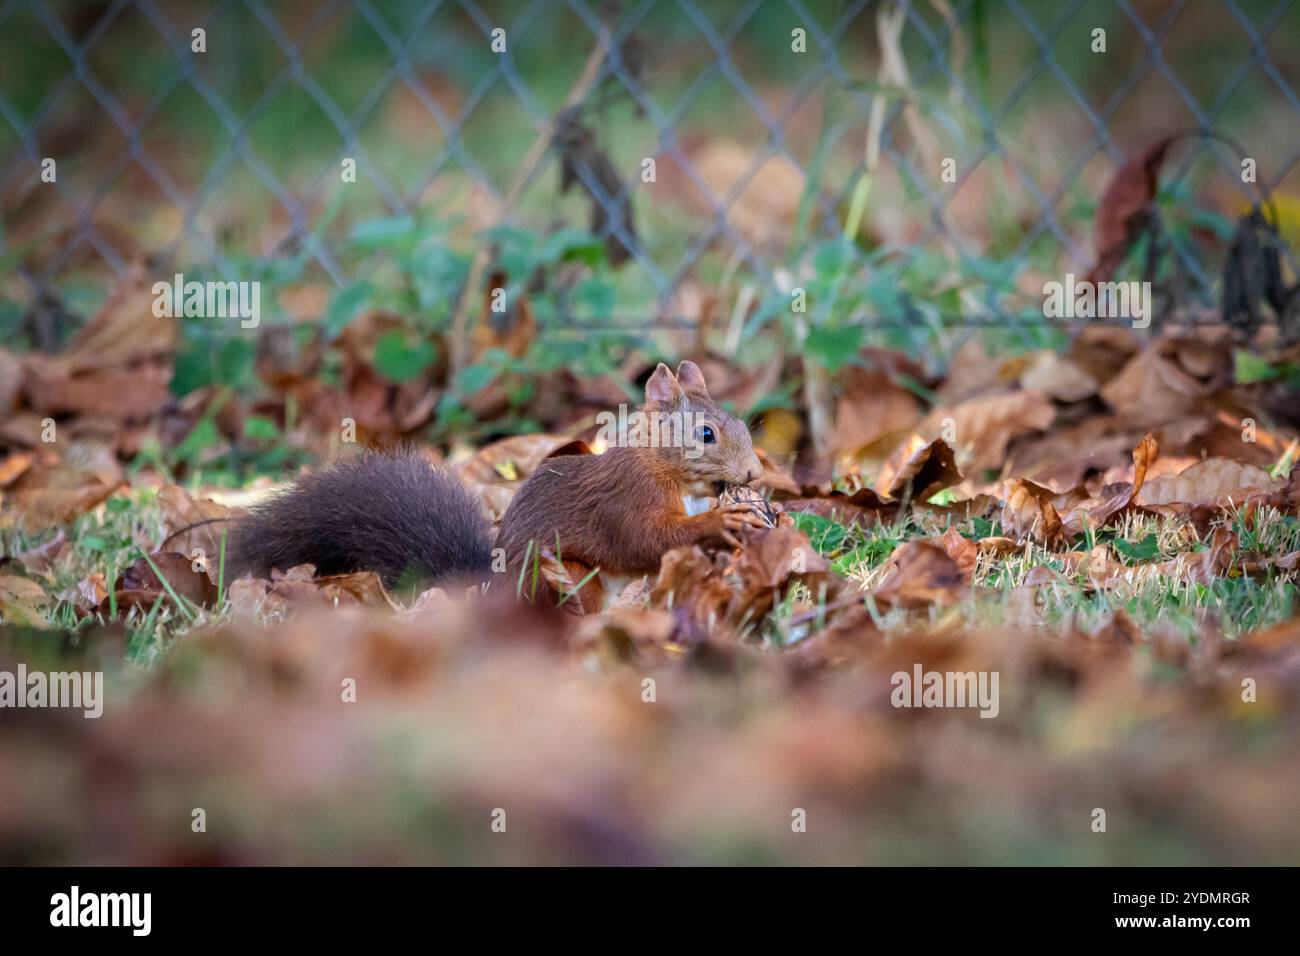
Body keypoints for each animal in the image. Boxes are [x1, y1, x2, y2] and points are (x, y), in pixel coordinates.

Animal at [230, 361, 764, 608]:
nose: (755, 474)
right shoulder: (626, 500)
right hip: (562, 575)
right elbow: (647, 539)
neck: (664, 469)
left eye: (741, 423)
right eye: (707, 434)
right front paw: (724, 521)